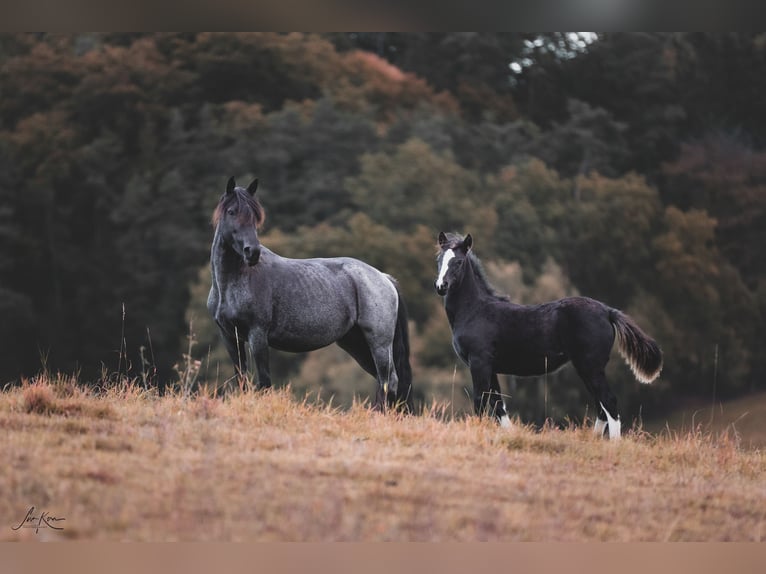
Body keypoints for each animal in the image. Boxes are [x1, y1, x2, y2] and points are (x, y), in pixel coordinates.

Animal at [207, 177, 413, 411]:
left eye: (255, 216)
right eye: (231, 211)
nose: (253, 252)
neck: (233, 282)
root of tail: (384, 278)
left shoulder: (257, 336)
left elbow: (264, 382)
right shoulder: (229, 337)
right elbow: (241, 379)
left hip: (379, 343)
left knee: (388, 380)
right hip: (356, 343)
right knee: (383, 379)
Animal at [434, 232, 662, 440]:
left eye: (458, 262)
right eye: (439, 260)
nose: (440, 286)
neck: (475, 310)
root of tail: (607, 311)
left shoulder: (479, 362)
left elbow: (481, 402)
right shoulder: (491, 367)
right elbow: (498, 404)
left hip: (590, 367)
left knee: (609, 402)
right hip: (588, 368)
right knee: (601, 407)